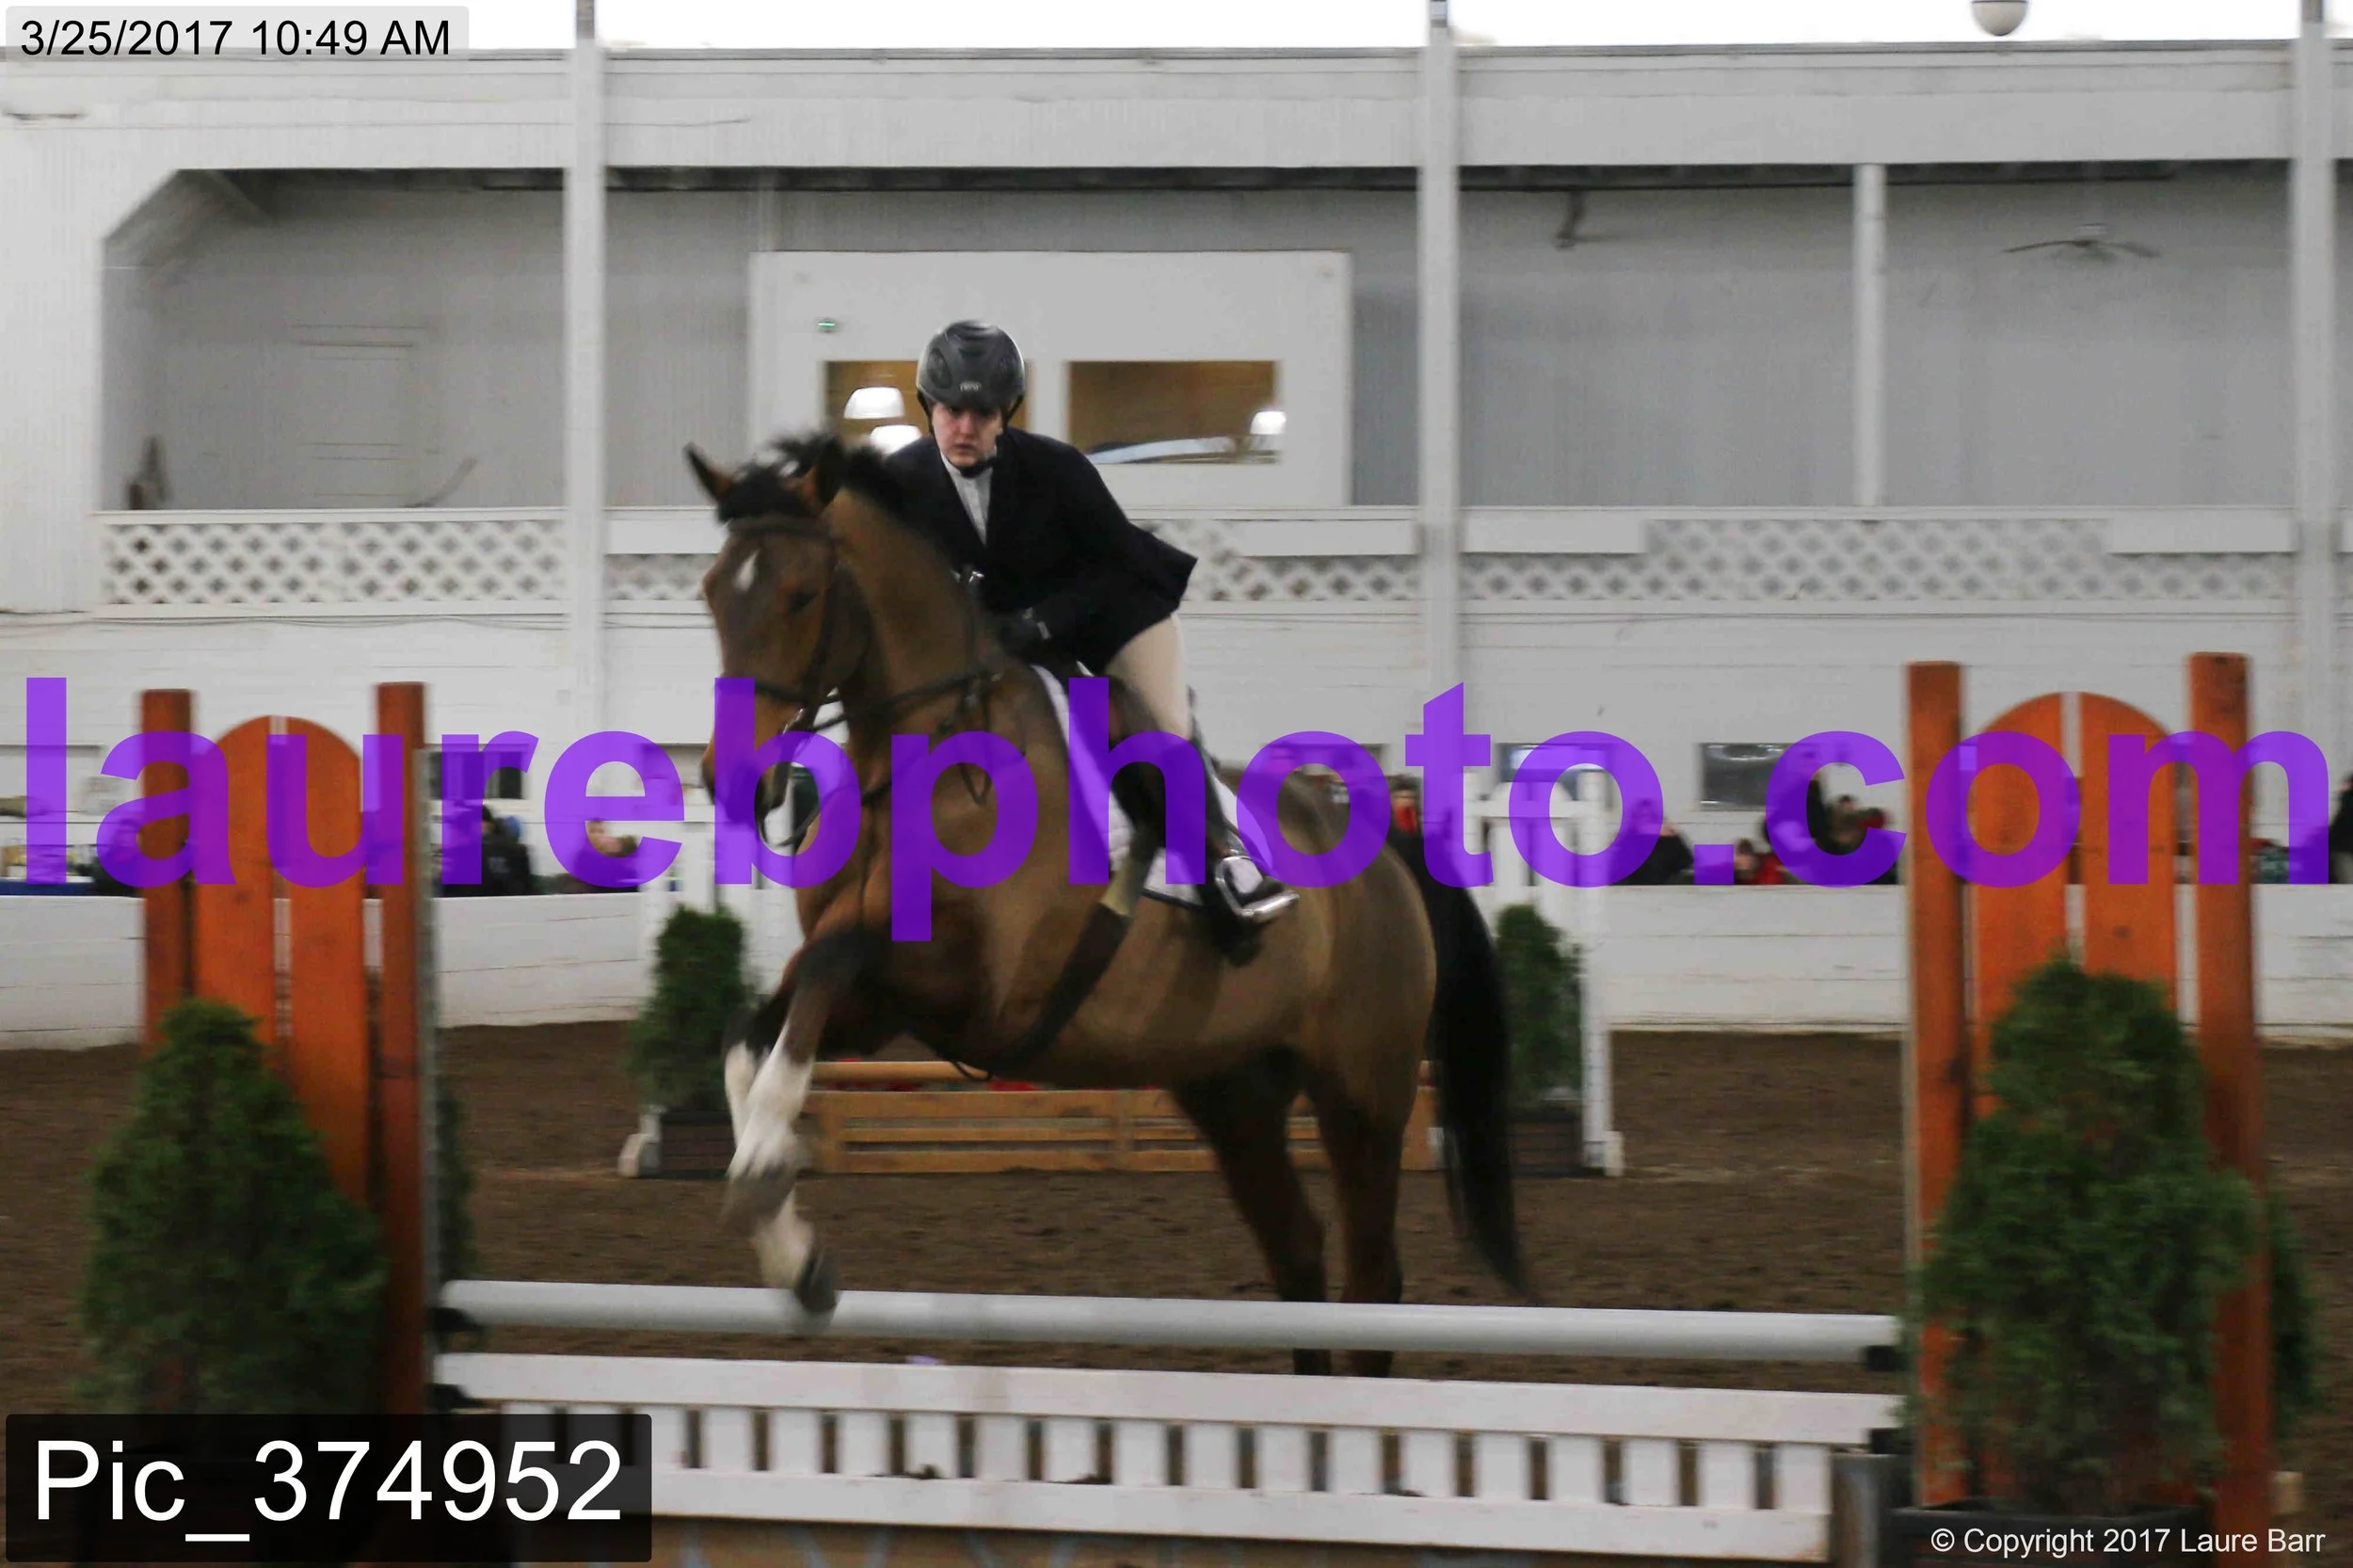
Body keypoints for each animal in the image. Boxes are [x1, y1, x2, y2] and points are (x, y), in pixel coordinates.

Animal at [689, 433, 1528, 1375]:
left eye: (801, 596)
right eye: (714, 591)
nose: (732, 783)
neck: (920, 762)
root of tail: (1388, 852)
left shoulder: (969, 986)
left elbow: (830, 968)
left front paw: (764, 1170)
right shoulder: (878, 1007)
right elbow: (755, 1031)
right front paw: (794, 1254)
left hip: (1365, 1096)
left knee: (1372, 1280)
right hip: (1235, 1093)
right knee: (1299, 1258)